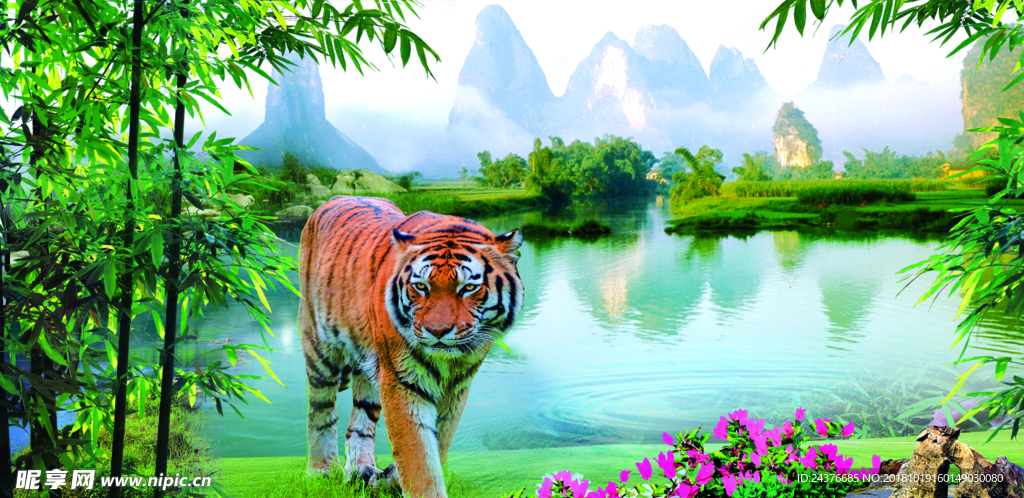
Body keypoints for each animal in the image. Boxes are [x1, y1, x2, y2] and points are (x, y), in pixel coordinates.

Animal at [298, 195, 524, 498]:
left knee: (360, 420)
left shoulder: (456, 388)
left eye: (468, 288)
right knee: (320, 411)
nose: (437, 331)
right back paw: (320, 471)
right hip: (319, 347)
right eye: (421, 286)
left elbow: (437, 445)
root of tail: (331, 200)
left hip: (368, 371)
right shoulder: (402, 382)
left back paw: (361, 469)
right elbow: (419, 457)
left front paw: (389, 477)